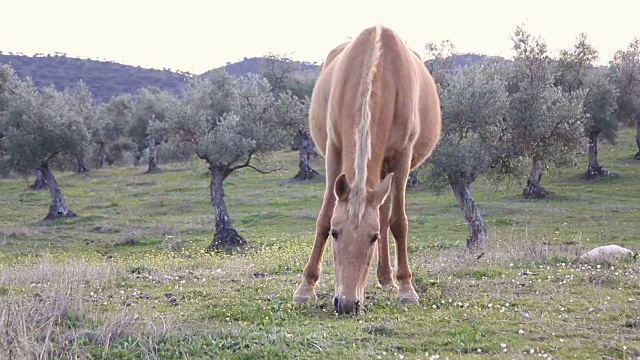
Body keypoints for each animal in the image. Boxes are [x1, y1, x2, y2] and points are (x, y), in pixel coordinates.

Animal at [294, 24, 440, 316]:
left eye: (372, 238)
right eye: (335, 233)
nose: (346, 304)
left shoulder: (403, 156)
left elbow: (398, 222)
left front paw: (407, 289)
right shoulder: (334, 149)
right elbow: (324, 216)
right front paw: (306, 288)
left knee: (385, 216)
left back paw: (387, 279)